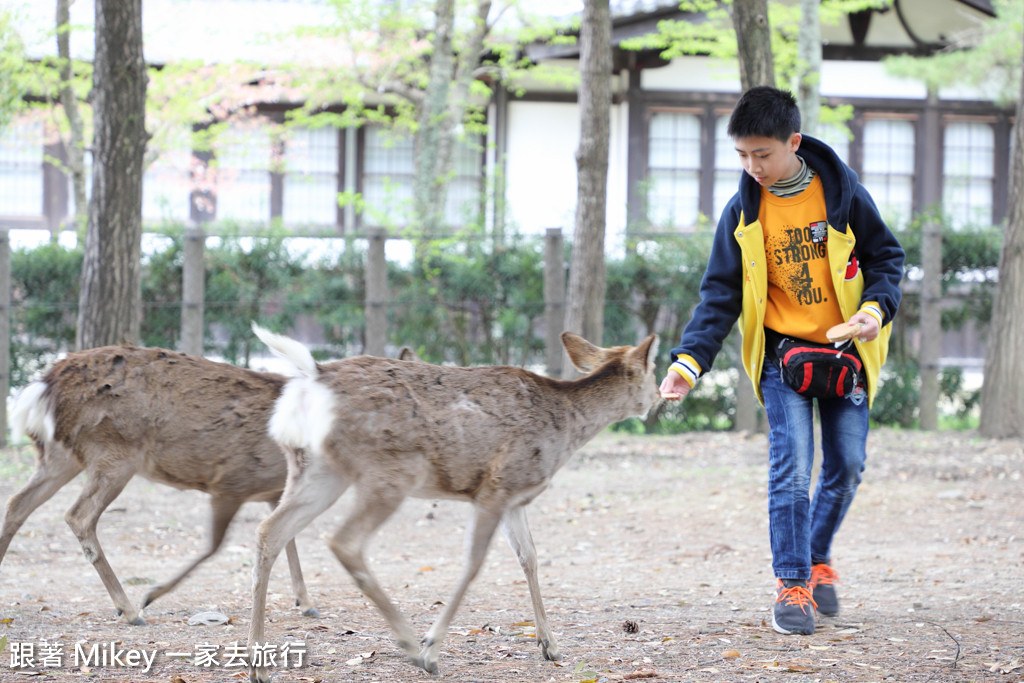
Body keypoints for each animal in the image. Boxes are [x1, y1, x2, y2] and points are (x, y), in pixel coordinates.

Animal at [4, 348, 317, 626]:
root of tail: (46, 384)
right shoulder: (236, 482)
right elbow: (229, 543)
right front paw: (151, 595)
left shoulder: (274, 490)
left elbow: (286, 539)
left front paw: (305, 602)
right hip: (114, 452)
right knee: (78, 516)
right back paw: (130, 610)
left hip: (60, 455)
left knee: (17, 504)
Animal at [248, 325, 663, 679]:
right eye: (653, 370)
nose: (660, 398)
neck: (566, 428)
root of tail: (313, 375)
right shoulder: (496, 487)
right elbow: (474, 563)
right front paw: (432, 648)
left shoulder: (515, 498)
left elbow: (529, 557)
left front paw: (550, 645)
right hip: (390, 470)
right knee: (343, 541)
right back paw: (411, 645)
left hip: (316, 468)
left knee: (269, 530)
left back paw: (258, 664)